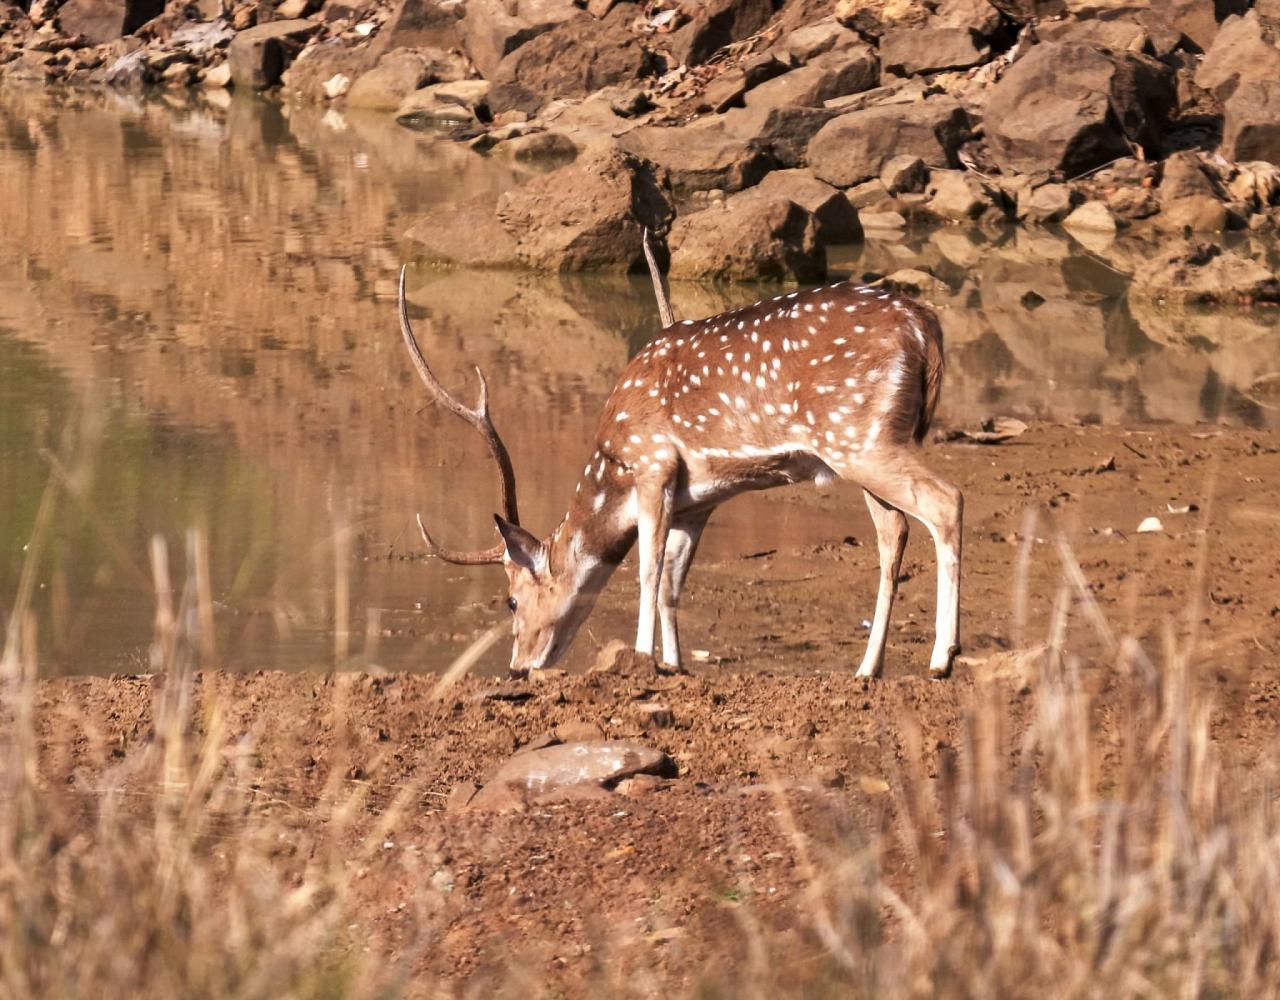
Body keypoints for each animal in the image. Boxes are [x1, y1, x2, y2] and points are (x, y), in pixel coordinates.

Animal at [399, 243, 962, 681]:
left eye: (512, 600)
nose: (518, 668)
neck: (613, 464)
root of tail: (926, 326)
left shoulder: (654, 466)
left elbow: (647, 572)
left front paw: (642, 658)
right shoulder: (698, 500)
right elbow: (673, 580)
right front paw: (674, 664)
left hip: (860, 436)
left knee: (946, 500)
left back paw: (943, 657)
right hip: (869, 443)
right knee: (894, 531)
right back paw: (868, 668)